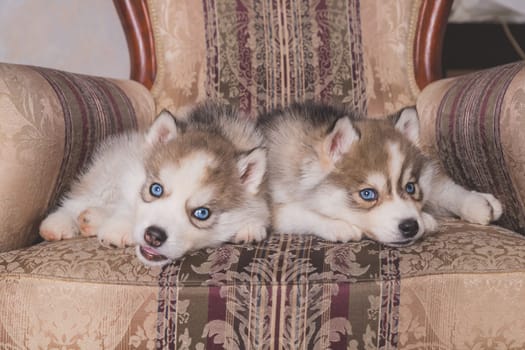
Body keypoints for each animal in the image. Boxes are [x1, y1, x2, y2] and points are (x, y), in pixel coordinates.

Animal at [40, 102, 270, 266]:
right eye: (156, 189)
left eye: (202, 213)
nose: (153, 236)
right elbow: (127, 205)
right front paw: (119, 227)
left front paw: (250, 226)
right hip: (111, 166)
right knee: (85, 196)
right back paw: (61, 222)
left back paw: (92, 219)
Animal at [256, 102, 500, 246]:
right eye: (368, 194)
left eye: (410, 187)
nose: (410, 226)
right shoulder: (269, 203)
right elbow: (295, 212)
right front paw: (337, 225)